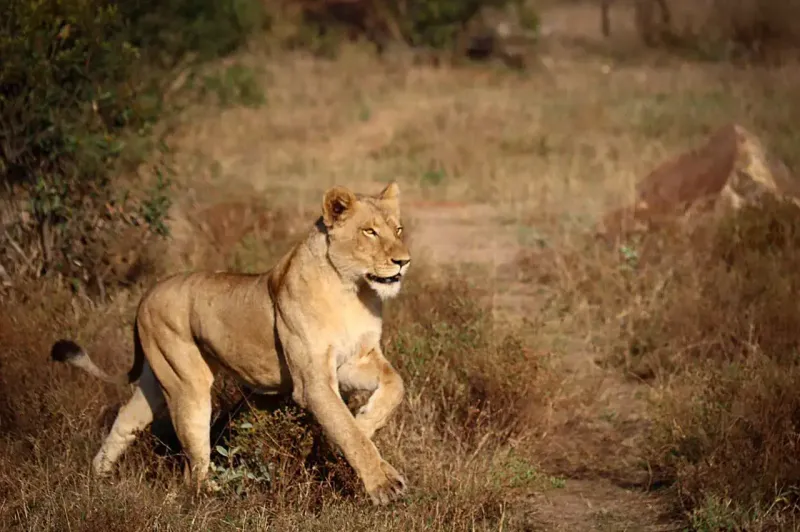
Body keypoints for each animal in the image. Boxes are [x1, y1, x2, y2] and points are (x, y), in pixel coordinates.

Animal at [51, 182, 411, 506]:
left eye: (398, 229)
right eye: (369, 232)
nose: (404, 261)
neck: (353, 290)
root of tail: (148, 293)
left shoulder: (354, 359)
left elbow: (395, 386)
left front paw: (365, 421)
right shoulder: (312, 382)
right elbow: (347, 431)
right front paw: (383, 484)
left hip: (158, 379)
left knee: (128, 418)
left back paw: (98, 477)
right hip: (188, 384)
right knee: (194, 464)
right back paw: (215, 494)